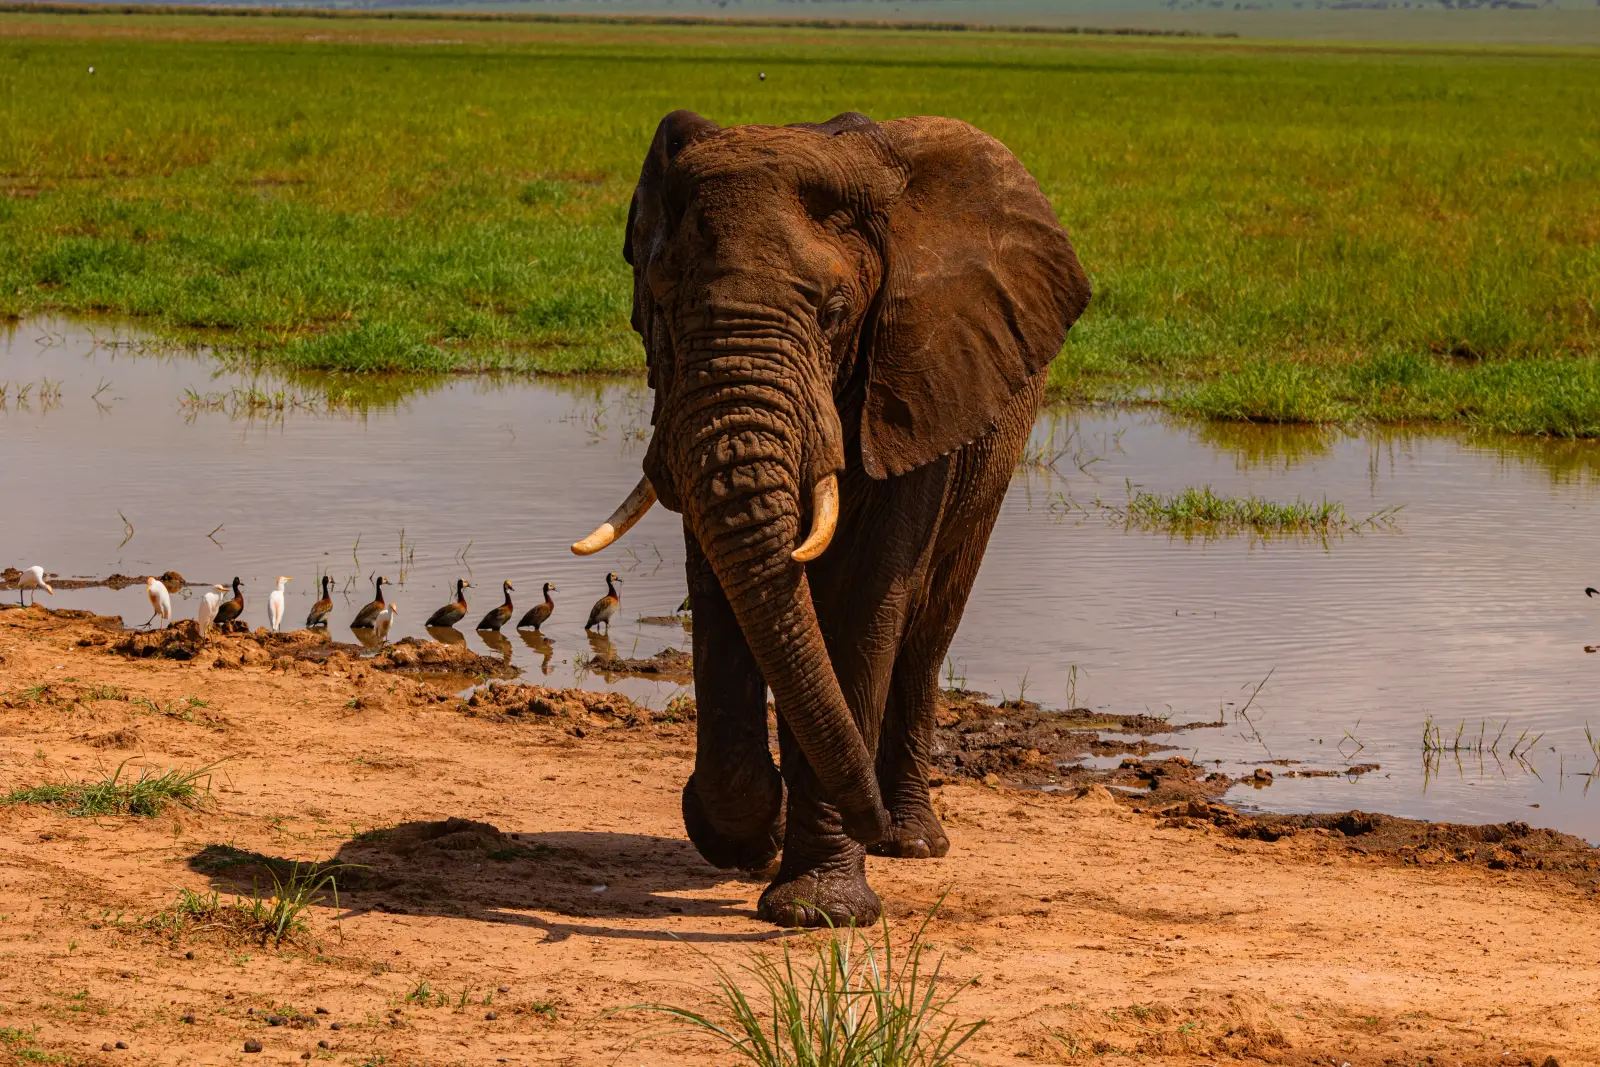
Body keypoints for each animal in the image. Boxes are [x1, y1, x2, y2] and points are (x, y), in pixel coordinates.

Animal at [572, 109, 1091, 927]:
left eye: (836, 313)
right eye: (663, 306)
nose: (867, 818)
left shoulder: (917, 380)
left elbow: (862, 606)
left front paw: (820, 909)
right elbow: (723, 593)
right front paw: (748, 839)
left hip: (994, 446)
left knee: (927, 632)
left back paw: (909, 841)